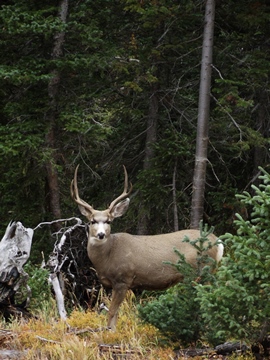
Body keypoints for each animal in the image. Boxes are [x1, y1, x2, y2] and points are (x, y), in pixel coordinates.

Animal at [70, 165, 224, 330]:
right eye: (92, 221)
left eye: (108, 221)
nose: (100, 234)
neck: (108, 256)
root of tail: (218, 241)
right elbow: (116, 315)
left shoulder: (123, 279)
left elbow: (111, 313)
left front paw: (110, 333)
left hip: (201, 271)